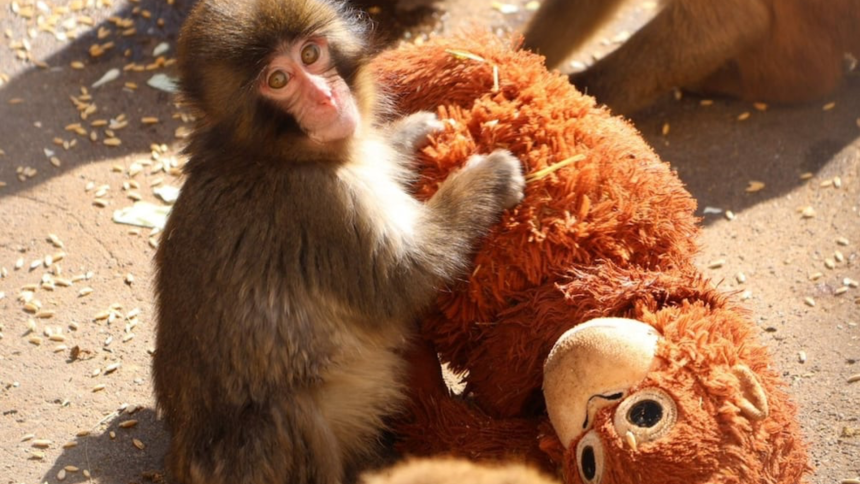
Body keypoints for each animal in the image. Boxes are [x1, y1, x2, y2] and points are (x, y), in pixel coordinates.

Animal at [151, 0, 525, 483]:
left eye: (311, 55)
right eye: (278, 80)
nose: (325, 98)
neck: (271, 154)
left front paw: (409, 132)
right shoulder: (321, 205)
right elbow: (403, 278)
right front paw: (488, 179)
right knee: (287, 414)